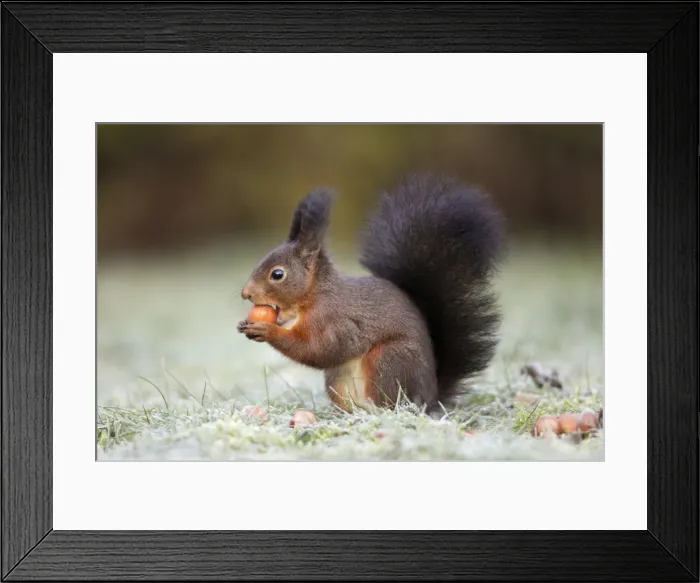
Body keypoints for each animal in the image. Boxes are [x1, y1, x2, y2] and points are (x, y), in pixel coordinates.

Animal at [237, 173, 504, 415]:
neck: (313, 297)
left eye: (277, 274)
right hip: (338, 381)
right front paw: (245, 324)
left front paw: (268, 331)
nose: (245, 294)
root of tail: (430, 399)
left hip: (390, 361)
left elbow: (322, 350)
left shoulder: (337, 321)